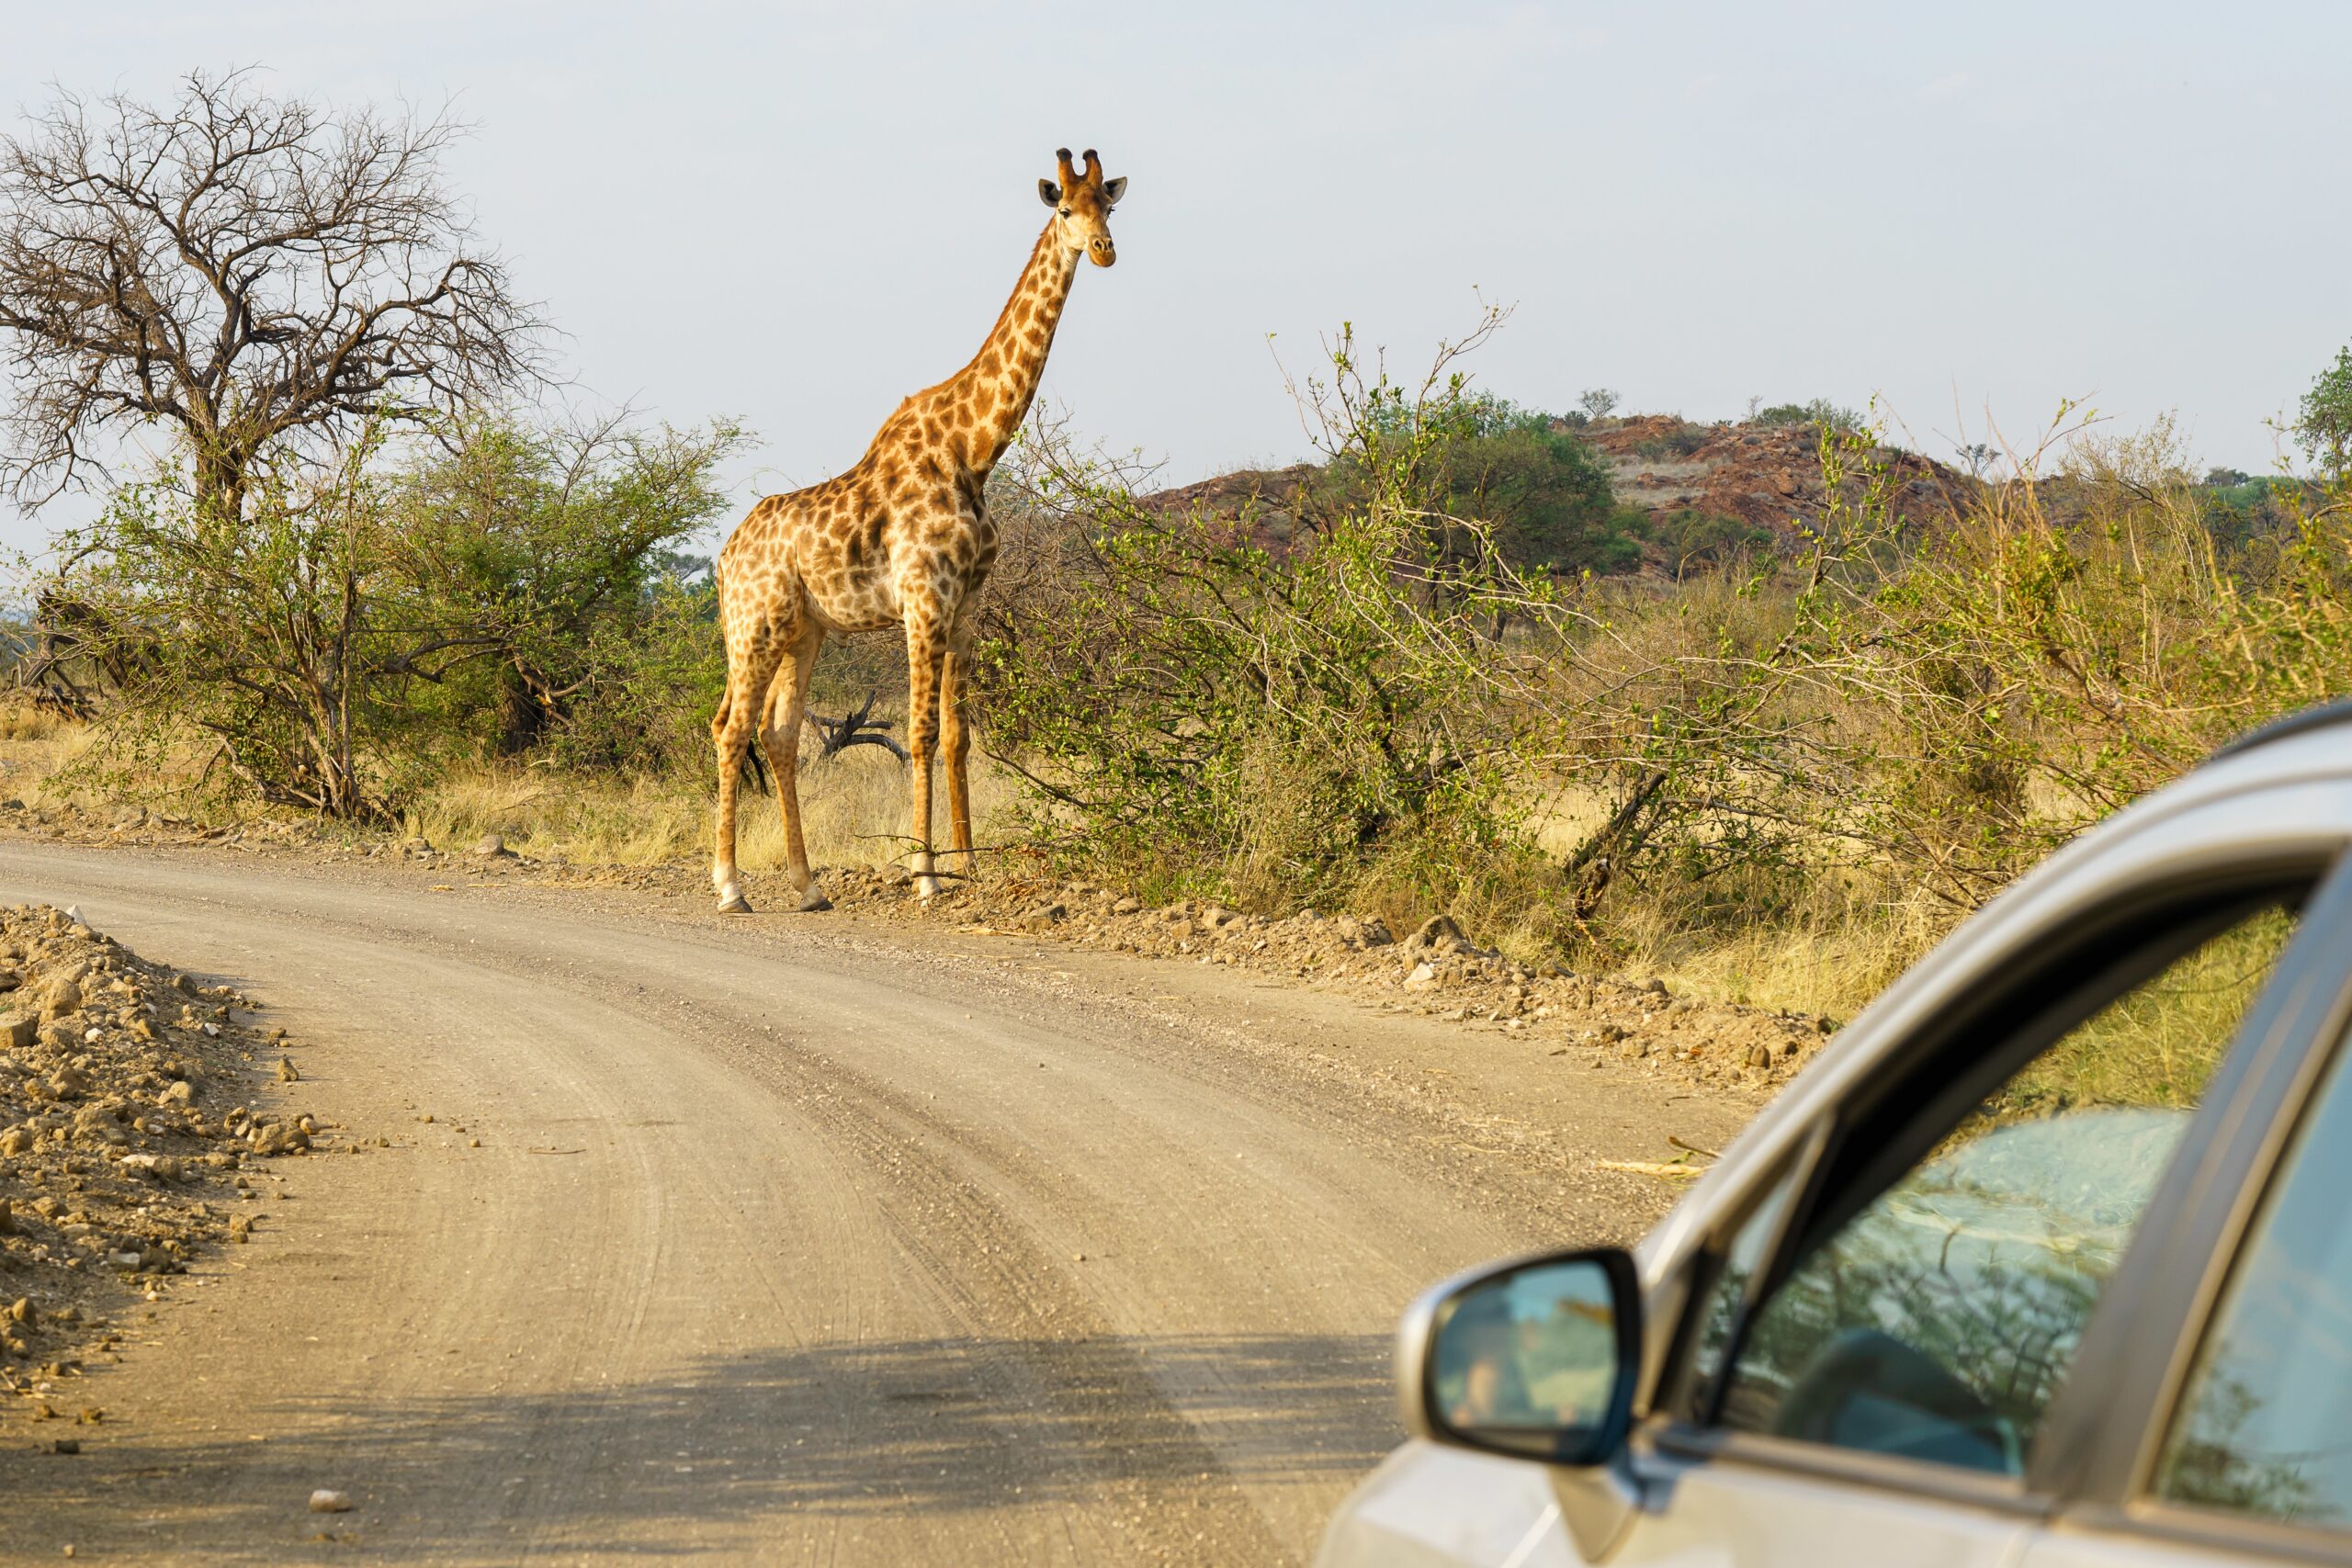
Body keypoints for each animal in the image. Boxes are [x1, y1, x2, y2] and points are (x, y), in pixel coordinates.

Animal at [709, 147, 1126, 914]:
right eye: (1064, 209)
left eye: (1108, 206)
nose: (1106, 250)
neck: (975, 450)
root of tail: (723, 561)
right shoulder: (923, 599)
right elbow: (921, 730)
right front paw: (926, 873)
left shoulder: (967, 605)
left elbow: (959, 735)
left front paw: (969, 864)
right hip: (753, 628)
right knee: (731, 729)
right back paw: (729, 887)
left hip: (803, 631)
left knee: (777, 735)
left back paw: (809, 886)